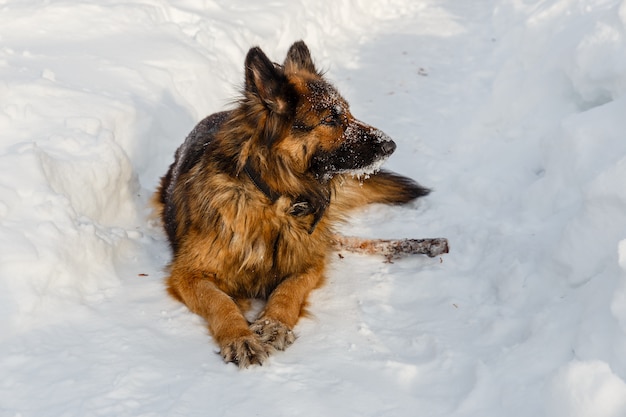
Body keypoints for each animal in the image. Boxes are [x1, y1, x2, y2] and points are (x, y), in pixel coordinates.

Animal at [155, 41, 428, 368]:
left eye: (348, 112)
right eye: (331, 119)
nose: (391, 145)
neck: (274, 199)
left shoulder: (309, 263)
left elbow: (288, 290)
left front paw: (274, 324)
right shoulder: (187, 274)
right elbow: (219, 301)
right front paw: (239, 337)